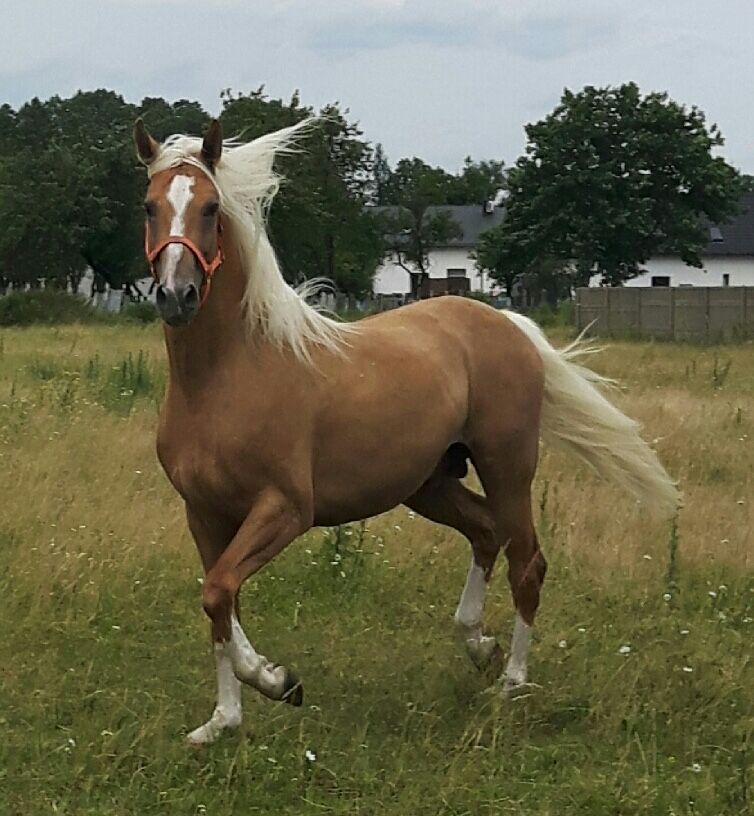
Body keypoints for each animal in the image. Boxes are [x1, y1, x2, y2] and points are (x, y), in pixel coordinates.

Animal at [131, 116, 676, 744]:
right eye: (148, 206)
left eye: (212, 207)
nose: (177, 295)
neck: (229, 375)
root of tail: (504, 320)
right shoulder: (203, 513)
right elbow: (221, 605)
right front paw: (223, 720)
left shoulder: (286, 508)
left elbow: (219, 592)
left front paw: (278, 681)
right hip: (429, 483)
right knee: (486, 533)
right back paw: (478, 645)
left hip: (508, 467)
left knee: (527, 562)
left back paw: (512, 682)